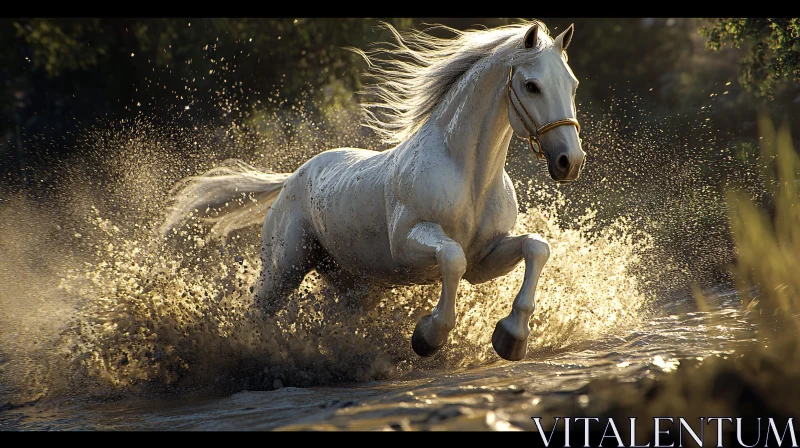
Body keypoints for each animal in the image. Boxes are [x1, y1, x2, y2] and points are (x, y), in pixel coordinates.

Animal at [164, 21, 588, 362]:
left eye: (572, 84)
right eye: (532, 85)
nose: (570, 161)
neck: (471, 179)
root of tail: (291, 179)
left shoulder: (486, 257)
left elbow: (537, 247)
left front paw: (511, 339)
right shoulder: (410, 244)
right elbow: (451, 258)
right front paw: (428, 337)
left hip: (355, 287)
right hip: (284, 268)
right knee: (257, 313)